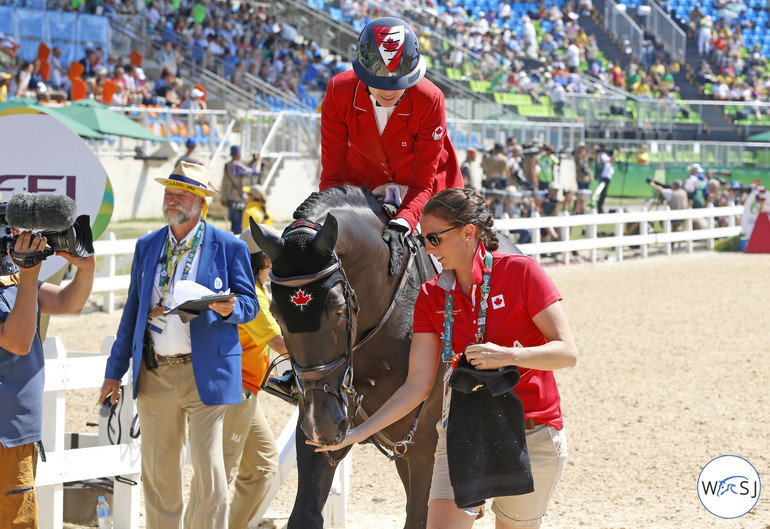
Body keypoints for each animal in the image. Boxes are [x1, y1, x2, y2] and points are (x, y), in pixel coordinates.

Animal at [250, 186, 440, 528]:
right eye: (275, 313)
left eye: (338, 309)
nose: (325, 424)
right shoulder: (313, 428)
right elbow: (305, 513)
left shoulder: (425, 442)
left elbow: (421, 515)